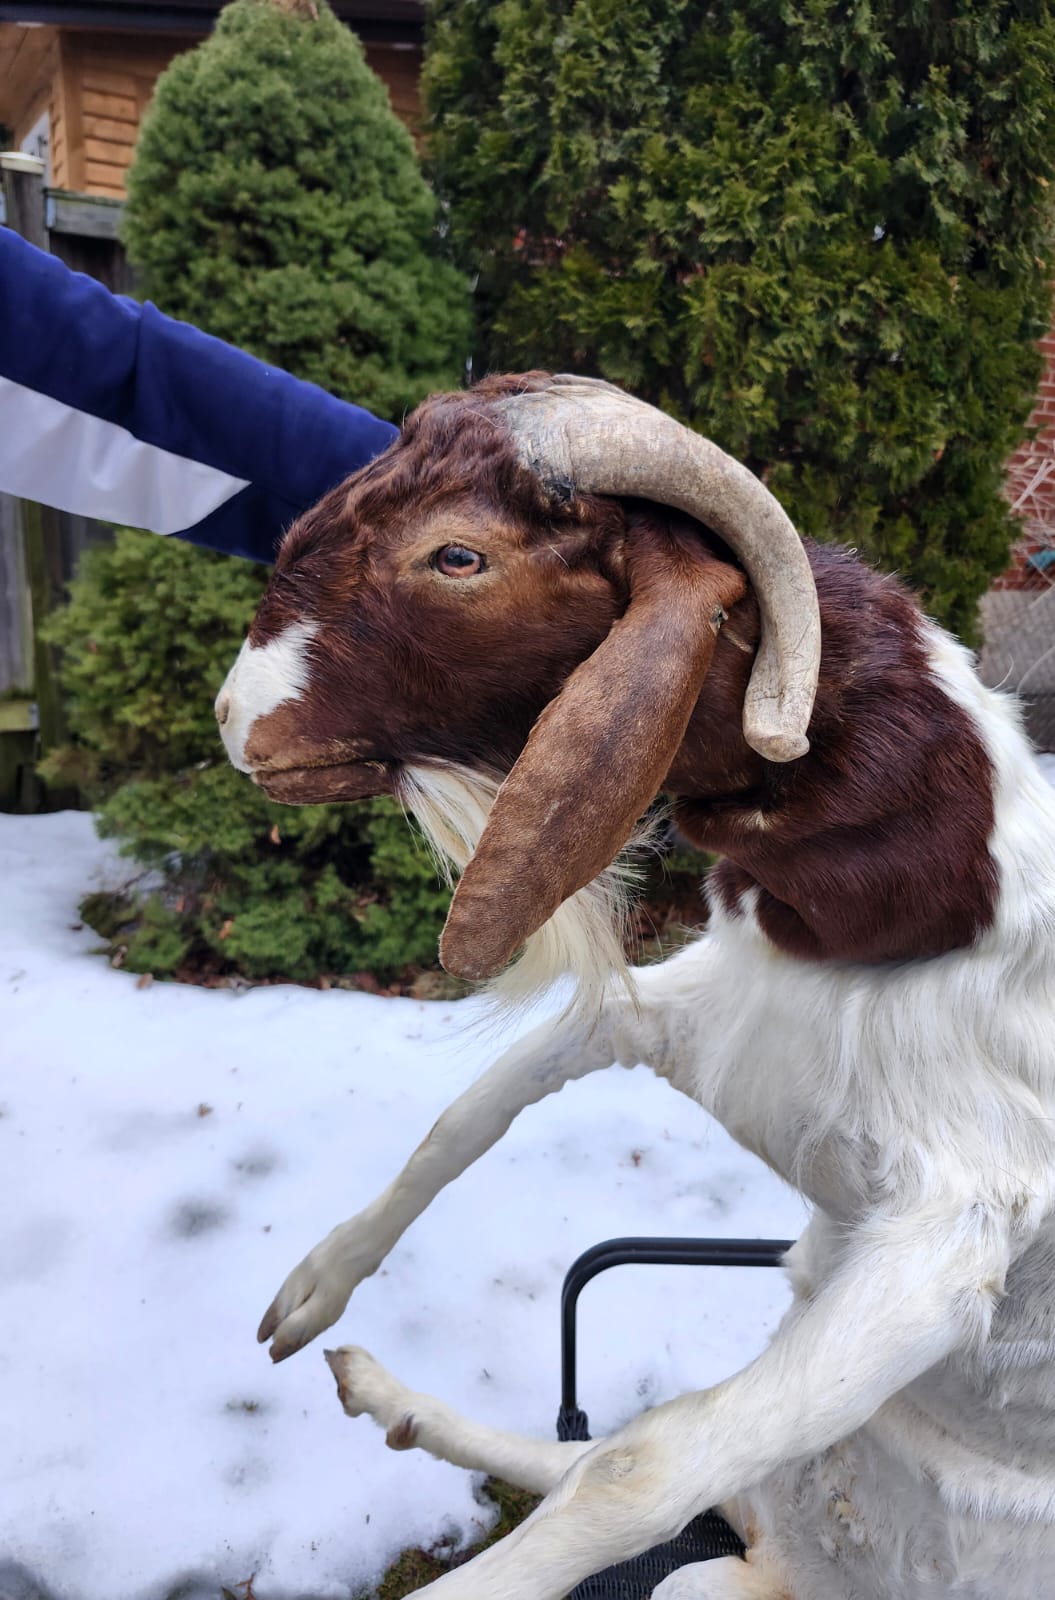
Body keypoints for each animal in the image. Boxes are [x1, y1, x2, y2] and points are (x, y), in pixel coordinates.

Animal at [216, 373, 1055, 1600]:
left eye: (457, 556)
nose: (233, 717)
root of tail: (787, 1547)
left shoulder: (948, 1236)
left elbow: (640, 1470)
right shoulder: (679, 1014)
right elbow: (468, 1113)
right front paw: (320, 1280)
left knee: (633, 1493)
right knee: (586, 1460)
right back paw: (390, 1399)